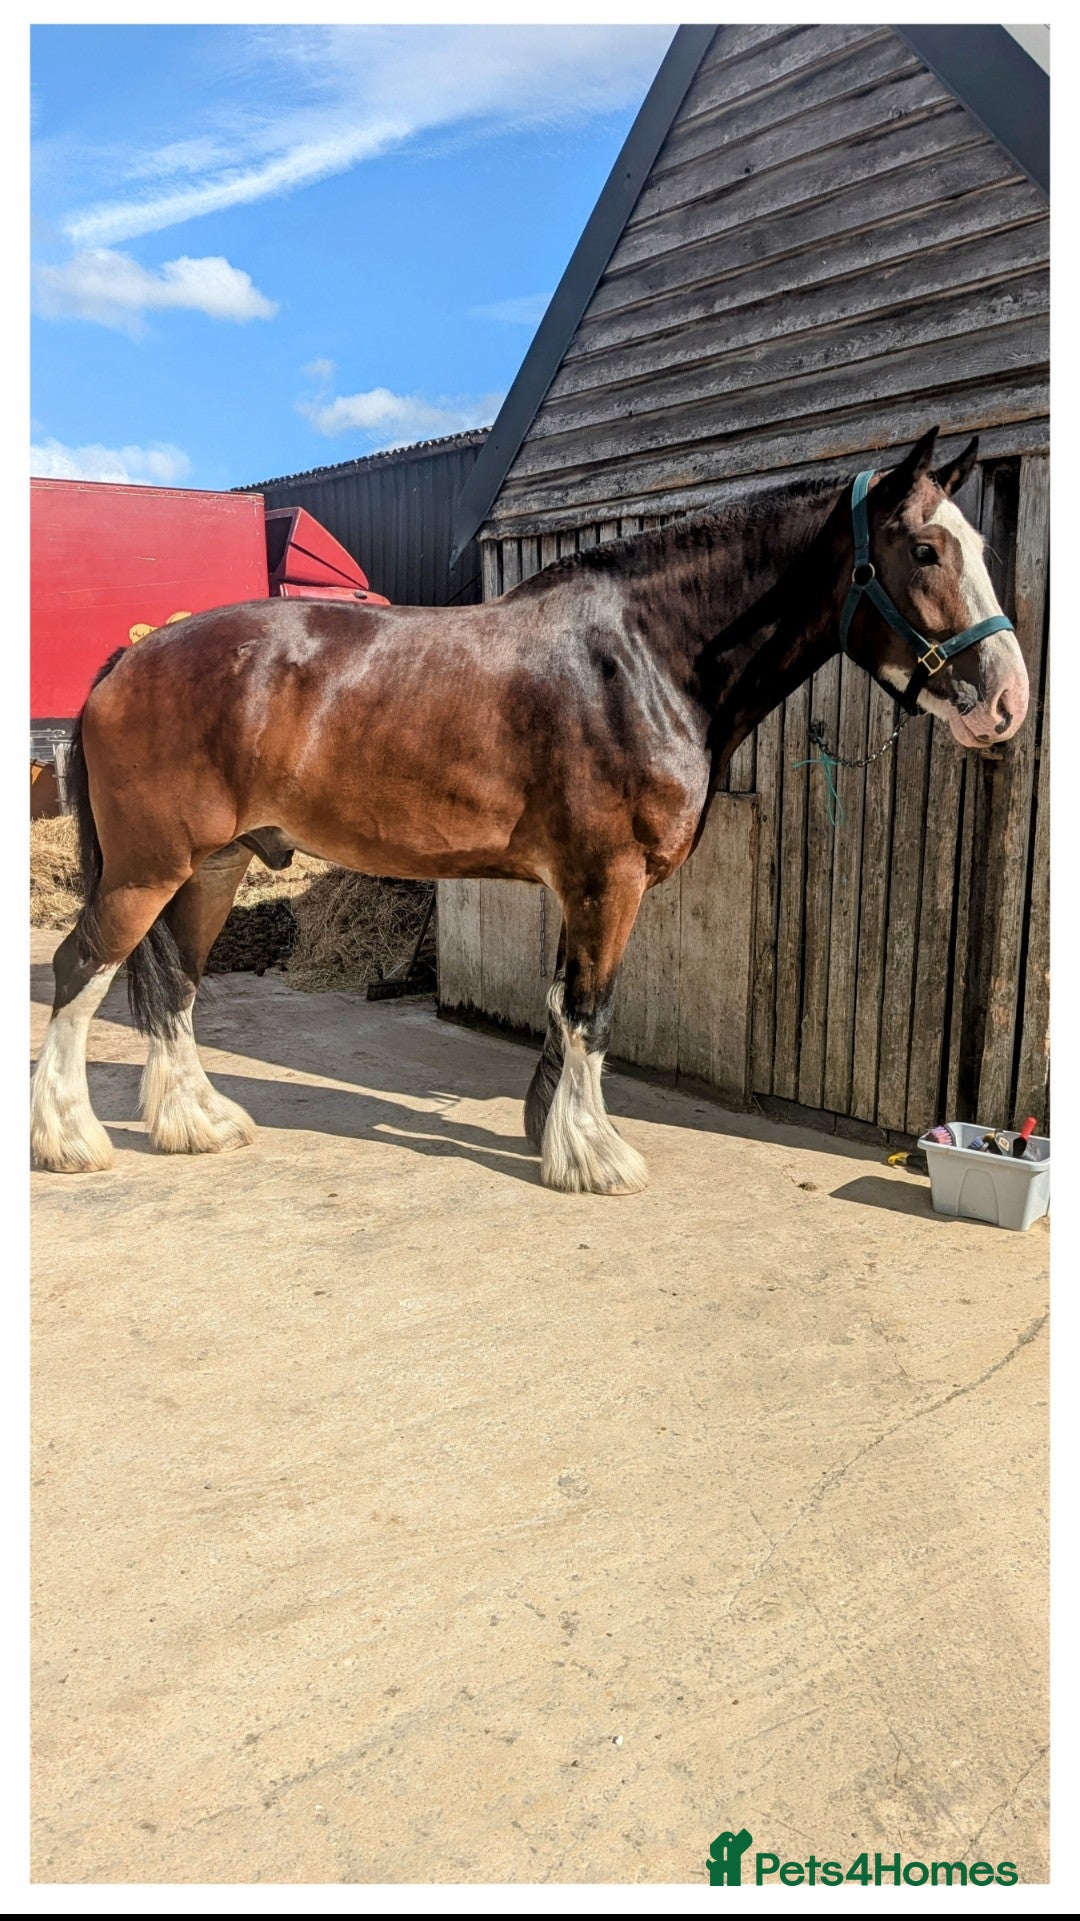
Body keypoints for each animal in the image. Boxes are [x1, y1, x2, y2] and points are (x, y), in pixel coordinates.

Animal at [30, 427, 1029, 1194]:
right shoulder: (609, 879)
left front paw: (549, 1128)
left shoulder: (581, 883)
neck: (645, 656)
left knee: (173, 983)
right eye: (926, 550)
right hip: (152, 866)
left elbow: (562, 1005)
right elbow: (592, 1010)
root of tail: (130, 659)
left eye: (978, 548)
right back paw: (71, 1139)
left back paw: (198, 1121)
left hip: (214, 863)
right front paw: (594, 1157)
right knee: (82, 967)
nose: (1008, 701)